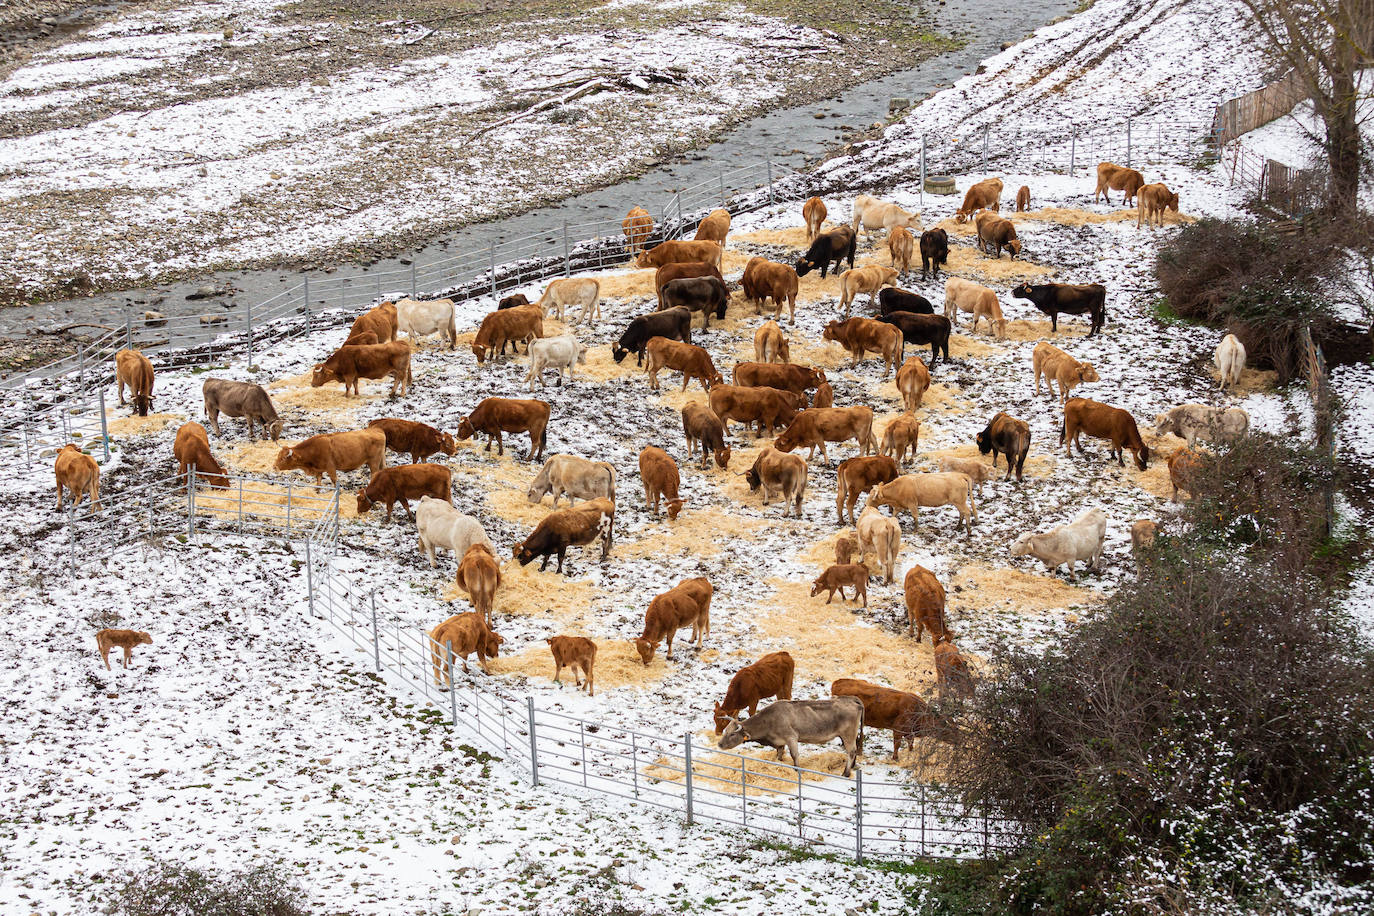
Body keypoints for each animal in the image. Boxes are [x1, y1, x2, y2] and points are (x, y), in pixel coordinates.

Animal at [714, 697, 862, 780]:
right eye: (725, 731)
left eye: (732, 734)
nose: (719, 744)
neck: (769, 720)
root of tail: (851, 700)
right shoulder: (779, 742)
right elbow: (779, 754)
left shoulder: (791, 737)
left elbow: (794, 755)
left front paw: (797, 770)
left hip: (848, 735)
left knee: (851, 752)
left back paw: (845, 773)